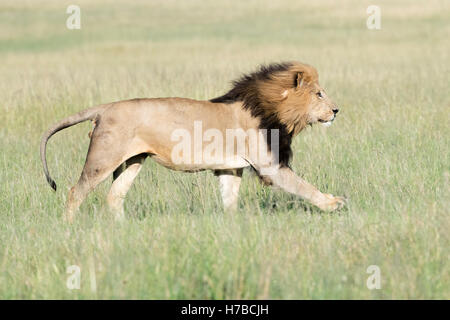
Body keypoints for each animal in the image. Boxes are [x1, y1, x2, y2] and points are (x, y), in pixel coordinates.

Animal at [40, 62, 346, 222]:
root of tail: (104, 108)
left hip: (133, 160)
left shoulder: (230, 167)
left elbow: (229, 199)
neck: (271, 109)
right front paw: (334, 203)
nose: (336, 110)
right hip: (103, 158)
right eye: (319, 94)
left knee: (114, 196)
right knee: (75, 192)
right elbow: (303, 186)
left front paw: (233, 226)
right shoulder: (269, 166)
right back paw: (69, 227)